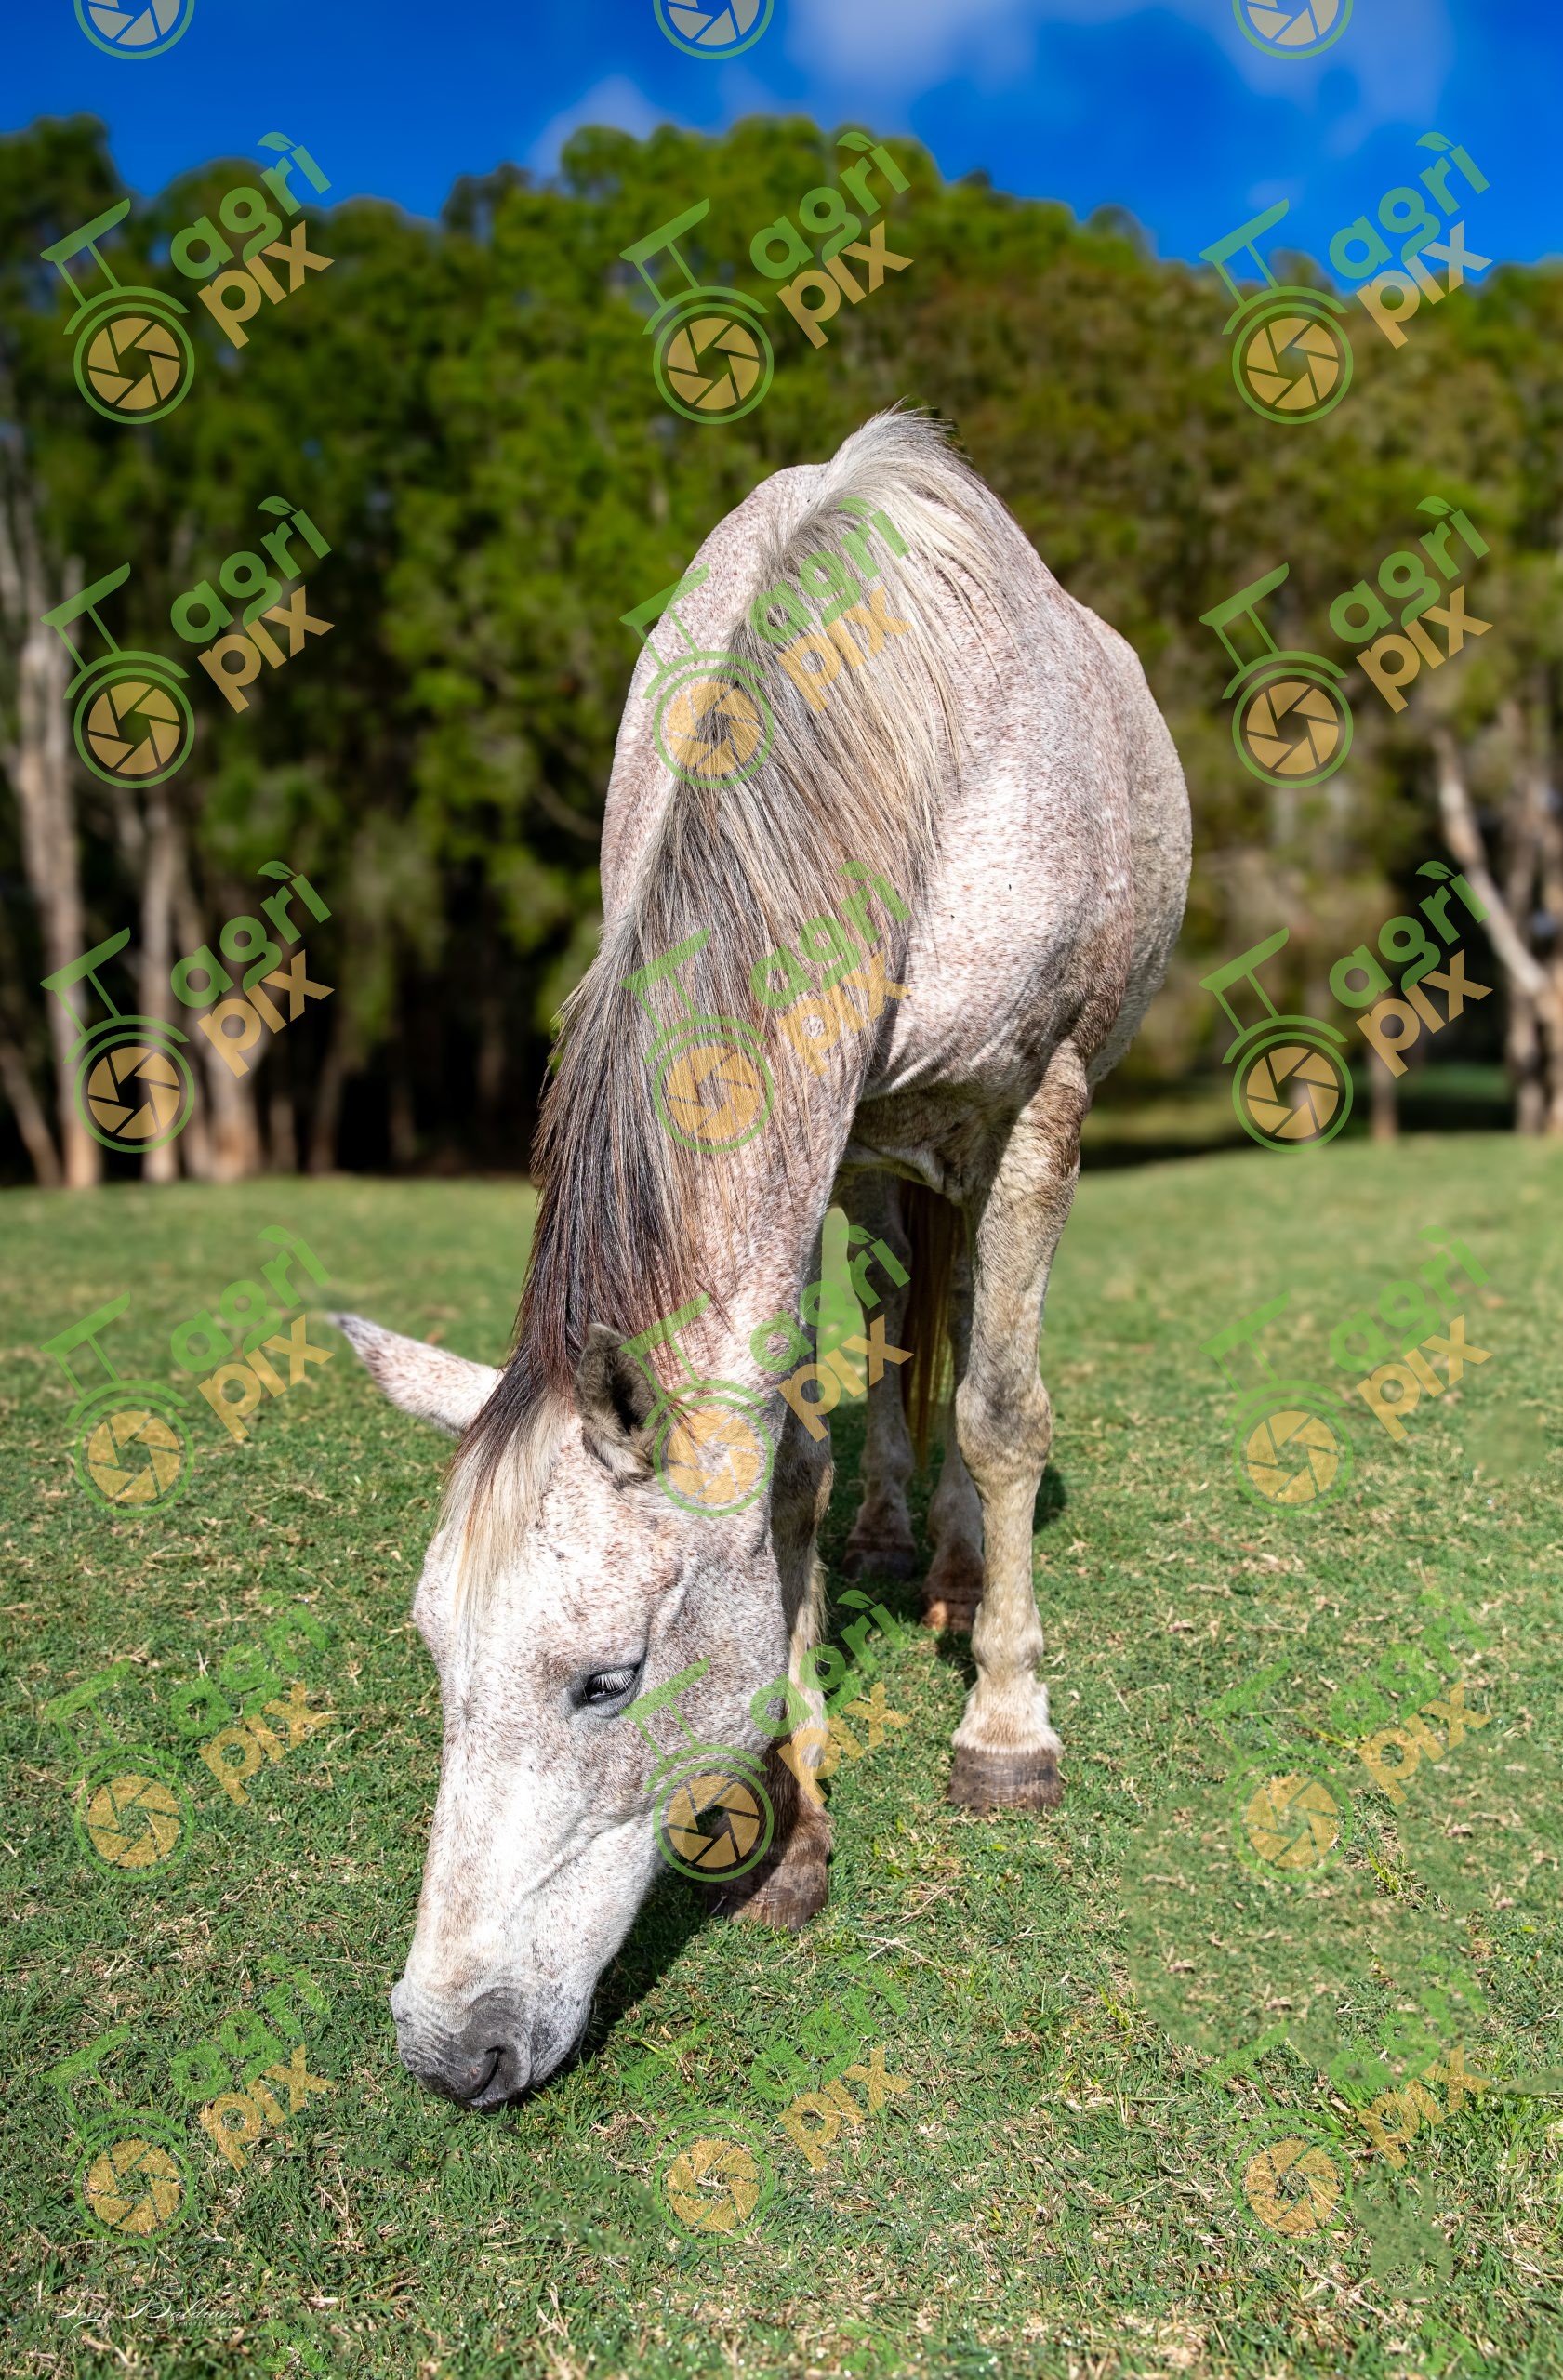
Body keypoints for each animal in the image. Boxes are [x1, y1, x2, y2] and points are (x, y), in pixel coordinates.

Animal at [334, 409, 1190, 2107]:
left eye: (604, 1680)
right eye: (436, 1658)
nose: (451, 2050)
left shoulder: (1040, 1101)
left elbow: (1004, 1409)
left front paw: (1006, 1734)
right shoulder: (817, 1122)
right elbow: (781, 1466)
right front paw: (794, 1822)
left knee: (962, 1341)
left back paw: (958, 1582)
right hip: (879, 1158)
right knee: (905, 1318)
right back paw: (901, 1538)